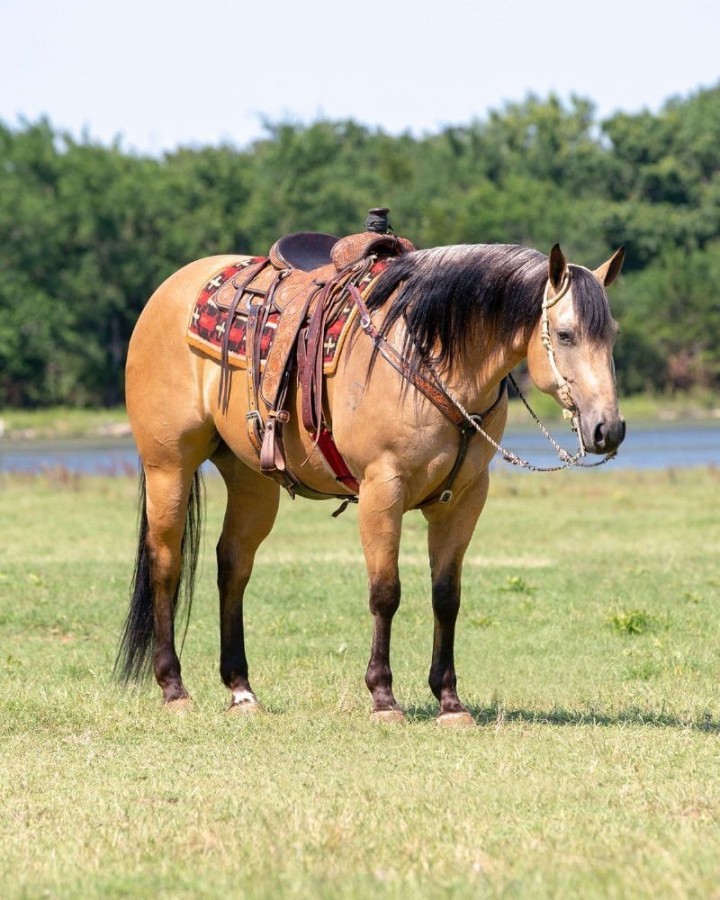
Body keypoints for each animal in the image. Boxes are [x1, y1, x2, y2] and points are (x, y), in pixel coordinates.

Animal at [116, 235, 625, 725]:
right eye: (565, 334)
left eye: (612, 335)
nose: (609, 429)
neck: (429, 357)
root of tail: (169, 290)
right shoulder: (383, 489)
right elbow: (385, 592)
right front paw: (383, 698)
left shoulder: (464, 499)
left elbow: (446, 596)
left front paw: (449, 701)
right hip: (168, 468)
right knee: (166, 563)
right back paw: (174, 689)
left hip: (251, 479)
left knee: (233, 564)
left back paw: (242, 691)